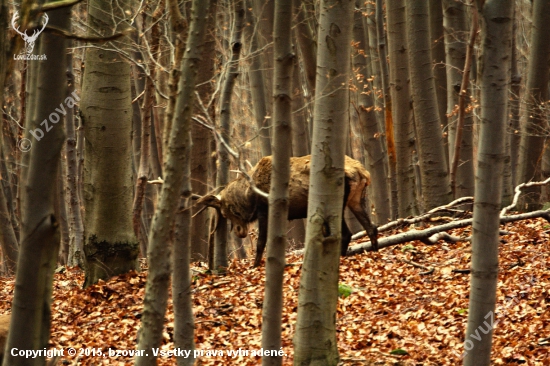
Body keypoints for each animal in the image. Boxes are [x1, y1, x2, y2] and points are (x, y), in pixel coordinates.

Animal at [198, 154, 380, 266]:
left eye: (225, 211)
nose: (239, 231)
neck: (249, 196)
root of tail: (364, 173)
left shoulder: (265, 210)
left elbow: (261, 242)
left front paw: (255, 265)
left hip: (337, 202)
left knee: (347, 233)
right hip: (356, 200)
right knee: (371, 227)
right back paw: (375, 251)